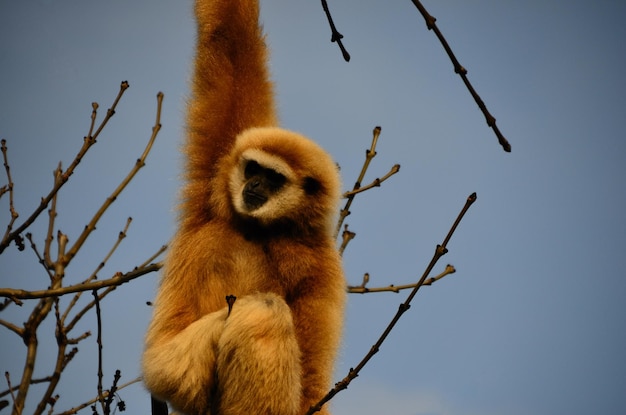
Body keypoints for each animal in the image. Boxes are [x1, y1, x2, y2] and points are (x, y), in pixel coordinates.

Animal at [141, 0, 344, 415]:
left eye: (274, 178)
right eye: (253, 169)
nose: (253, 185)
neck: (259, 228)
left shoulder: (321, 268)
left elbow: (312, 377)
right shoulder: (219, 171)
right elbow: (229, 37)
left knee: (264, 310)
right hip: (172, 367)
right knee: (264, 310)